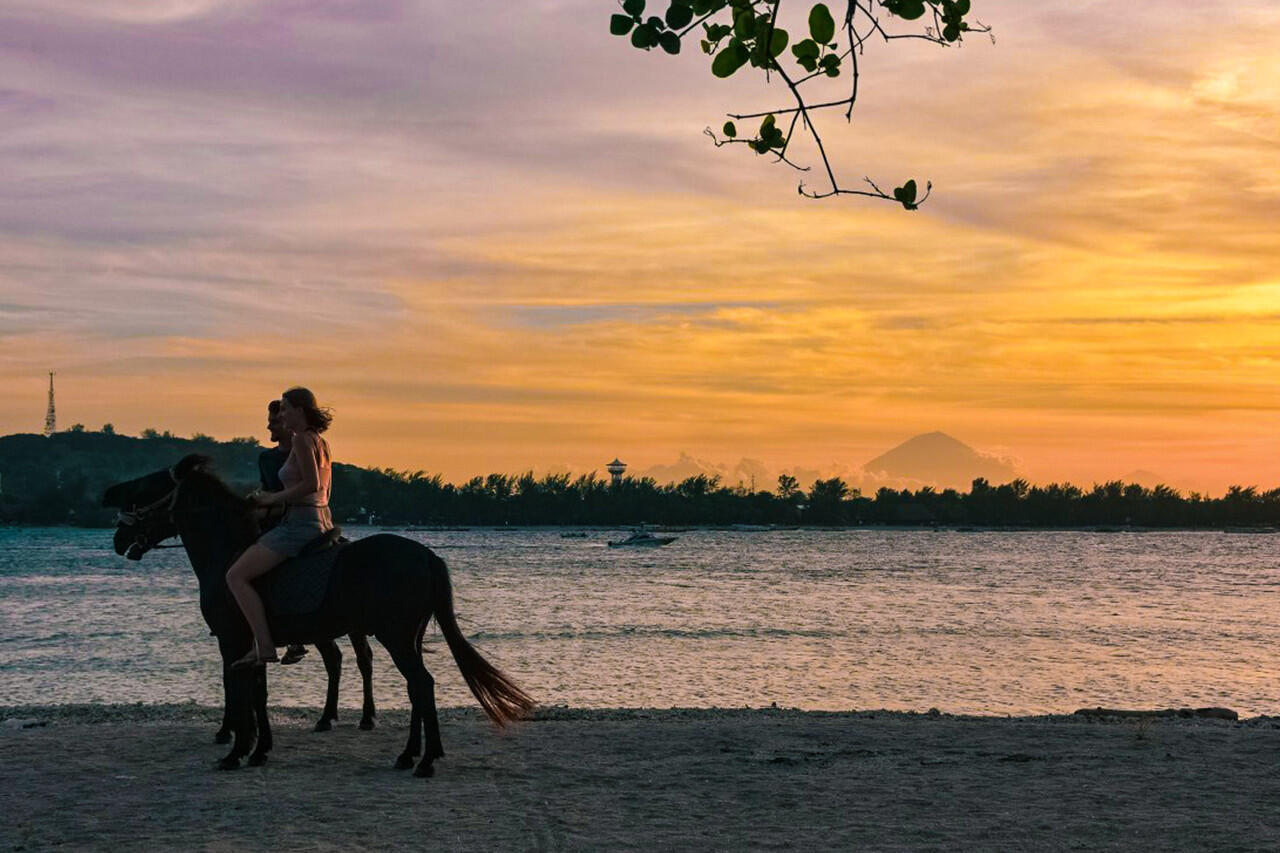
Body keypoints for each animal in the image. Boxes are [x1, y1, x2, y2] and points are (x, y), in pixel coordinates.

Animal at [102, 455, 535, 773]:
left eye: (144, 488)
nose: (118, 538)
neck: (228, 554)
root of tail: (426, 555)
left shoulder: (233, 641)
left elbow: (240, 694)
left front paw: (235, 752)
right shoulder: (253, 643)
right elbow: (257, 694)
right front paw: (258, 750)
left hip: (393, 636)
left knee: (419, 685)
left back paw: (424, 761)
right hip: (403, 636)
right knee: (412, 687)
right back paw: (409, 754)